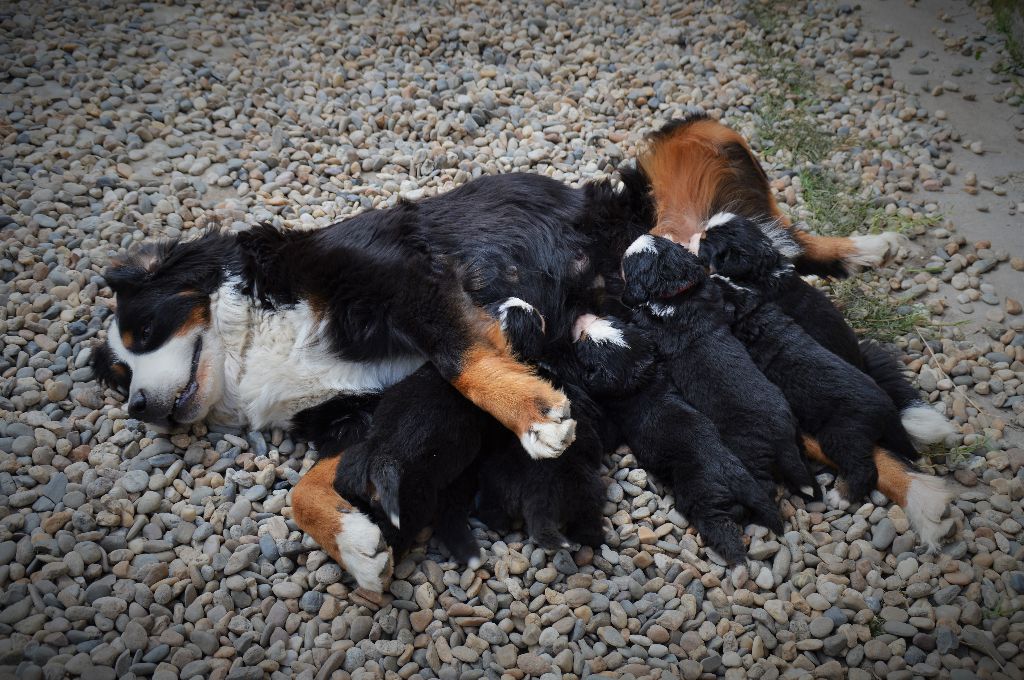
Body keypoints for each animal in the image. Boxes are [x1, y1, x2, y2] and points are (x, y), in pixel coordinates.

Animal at [573, 313, 778, 561]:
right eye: (612, 320)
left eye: (588, 342)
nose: (585, 317)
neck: (642, 376)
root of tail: (728, 469)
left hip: (700, 493)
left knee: (717, 523)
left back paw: (736, 557)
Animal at [614, 233, 815, 499]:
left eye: (630, 261)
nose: (641, 235)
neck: (677, 292)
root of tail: (782, 434)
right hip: (796, 434)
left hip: (751, 452)